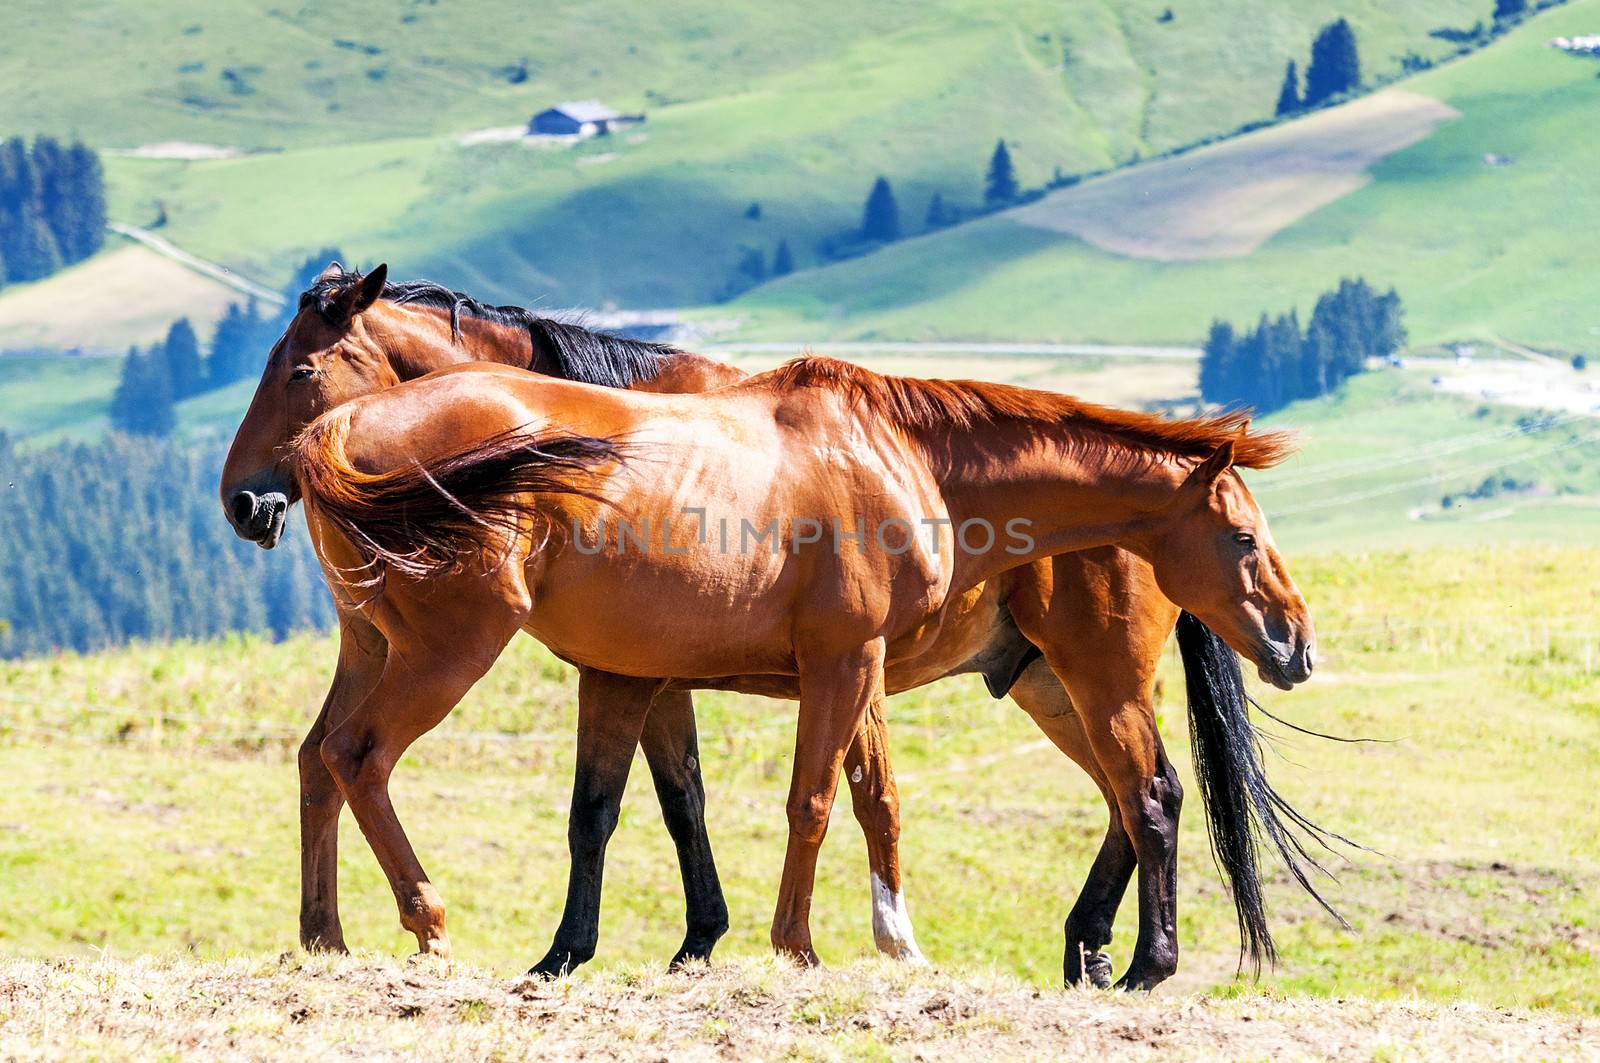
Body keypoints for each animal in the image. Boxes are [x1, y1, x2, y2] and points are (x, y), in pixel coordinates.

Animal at [219, 267, 1344, 986]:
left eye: (299, 367)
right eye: (1246, 536)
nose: (1295, 639)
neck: (903, 453)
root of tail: (340, 443)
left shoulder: (704, 670)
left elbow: (702, 805)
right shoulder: (825, 661)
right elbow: (801, 800)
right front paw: (787, 946)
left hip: (1070, 678)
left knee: (1140, 791)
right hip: (444, 650)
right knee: (353, 755)